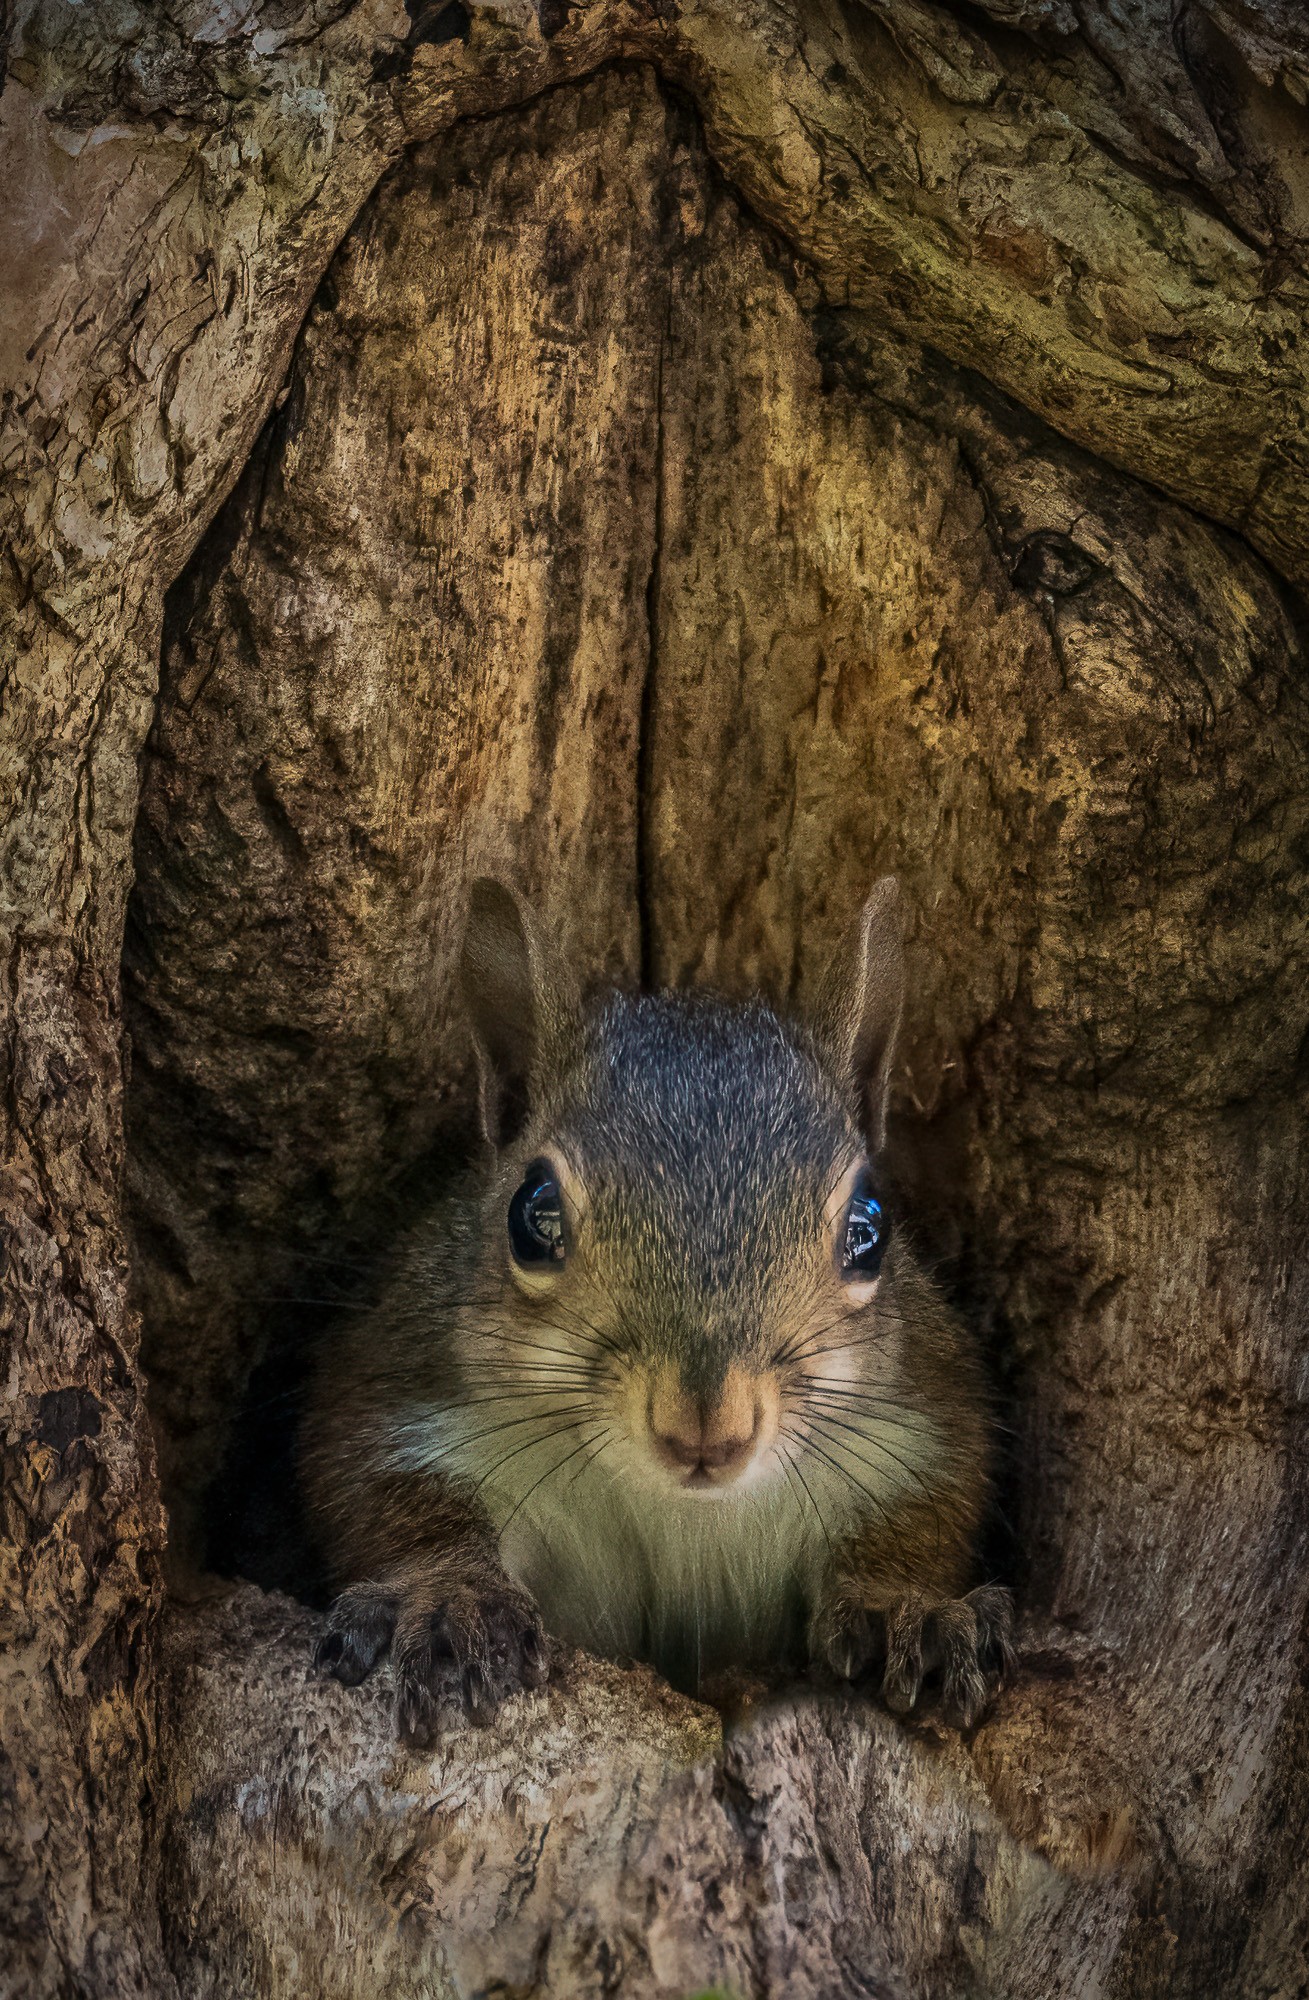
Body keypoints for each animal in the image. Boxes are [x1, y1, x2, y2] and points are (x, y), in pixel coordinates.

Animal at [300, 884, 1016, 1744]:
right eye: (531, 1213)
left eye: (869, 1230)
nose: (708, 1428)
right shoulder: (400, 1389)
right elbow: (389, 1500)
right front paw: (446, 1597)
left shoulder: (916, 1425)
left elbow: (922, 1513)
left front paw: (904, 1608)